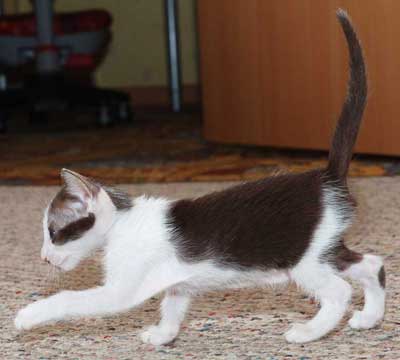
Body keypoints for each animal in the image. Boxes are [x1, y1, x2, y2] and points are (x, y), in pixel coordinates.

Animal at [14, 9, 384, 344]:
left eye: (53, 233)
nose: (44, 257)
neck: (122, 222)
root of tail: (326, 178)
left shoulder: (121, 289)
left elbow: (70, 298)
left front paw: (27, 316)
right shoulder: (177, 280)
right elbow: (173, 304)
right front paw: (162, 335)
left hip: (302, 258)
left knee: (339, 290)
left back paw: (309, 332)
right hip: (323, 247)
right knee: (373, 263)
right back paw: (369, 318)